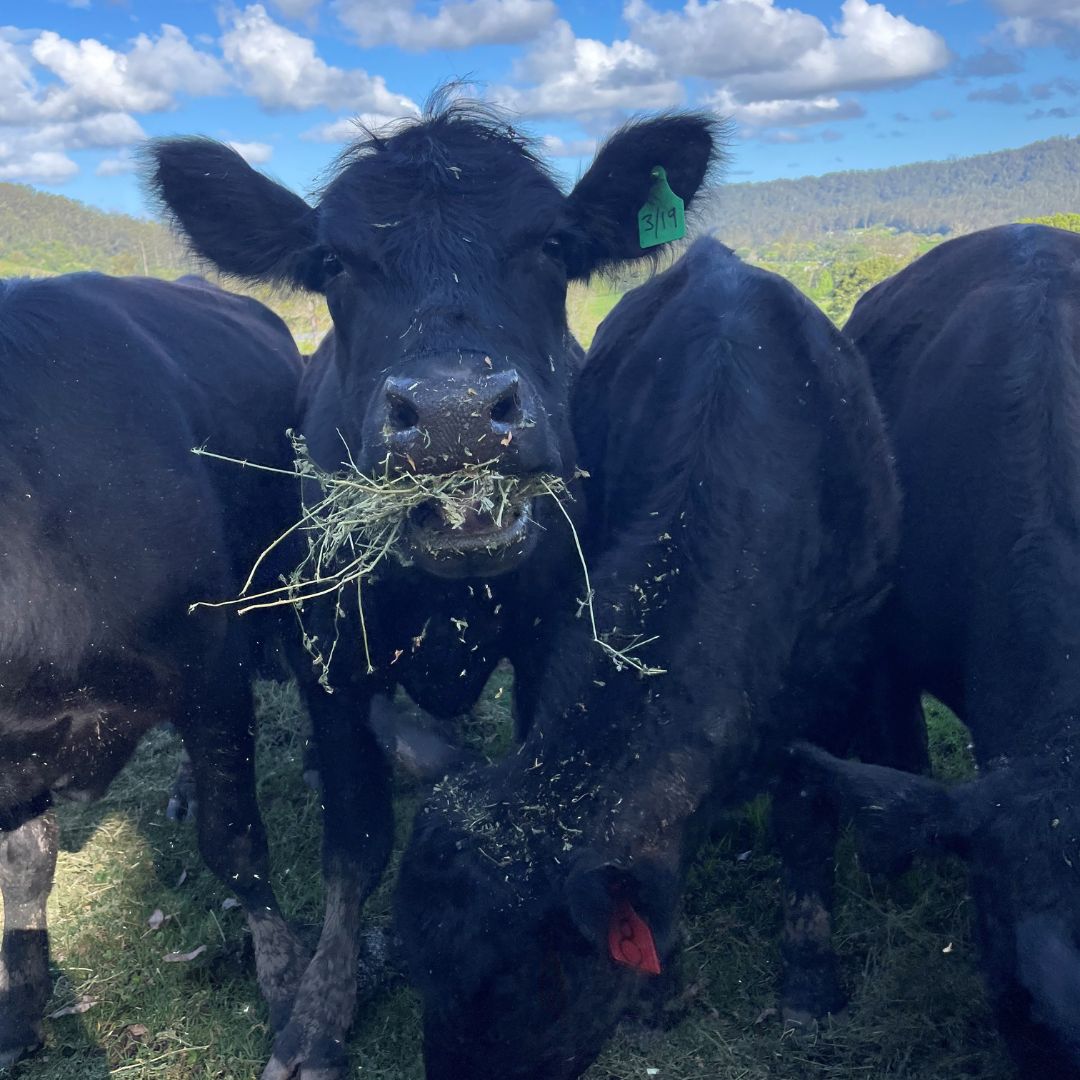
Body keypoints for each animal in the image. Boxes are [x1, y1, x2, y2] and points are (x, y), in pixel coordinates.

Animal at [143, 97, 721, 1075]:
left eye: (555, 244)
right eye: (333, 262)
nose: (456, 417)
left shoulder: (550, 645)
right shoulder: (333, 655)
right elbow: (355, 844)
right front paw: (320, 1011)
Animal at [393, 238, 898, 1080]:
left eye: (524, 985)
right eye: (423, 972)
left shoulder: (841, 672)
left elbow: (805, 822)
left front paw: (809, 984)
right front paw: (656, 999)